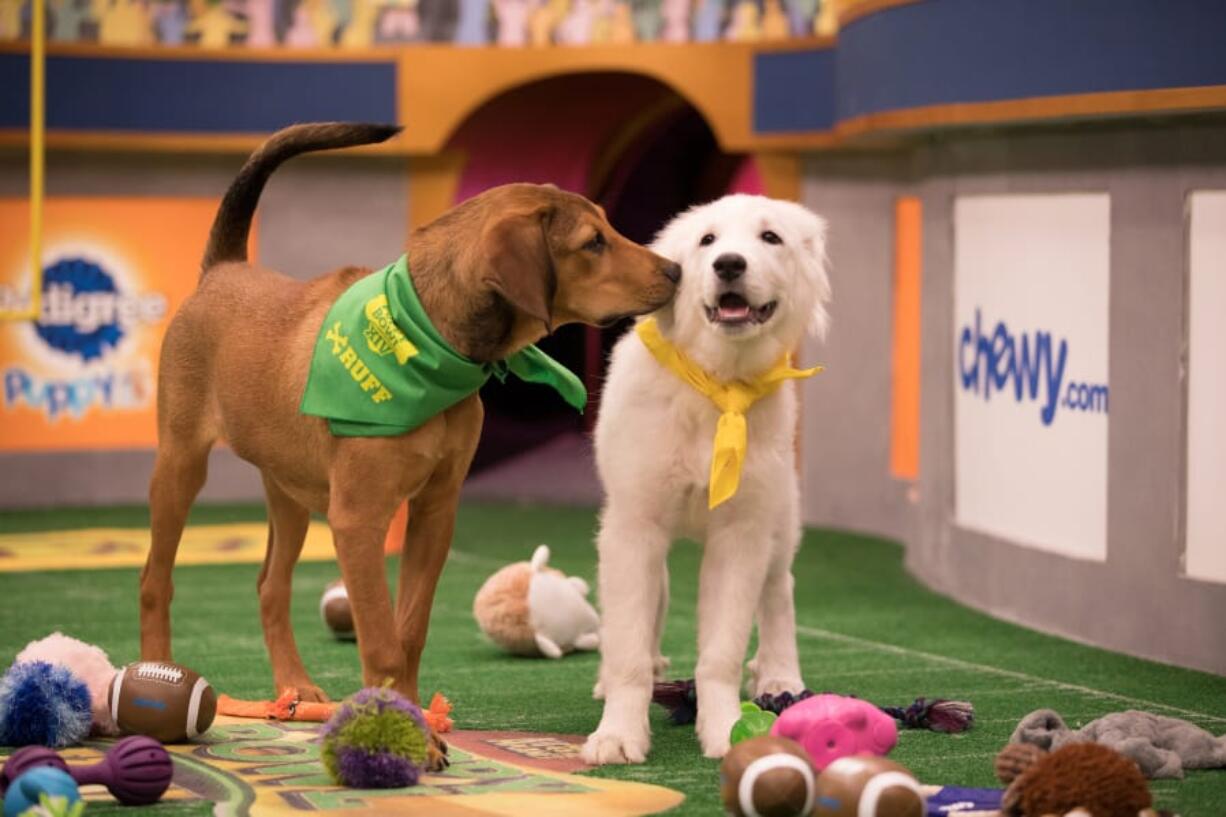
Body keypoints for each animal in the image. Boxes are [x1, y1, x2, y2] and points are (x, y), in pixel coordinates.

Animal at [140, 120, 681, 721]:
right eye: (593, 242)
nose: (677, 271)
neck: (429, 338)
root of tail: (224, 271)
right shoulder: (358, 520)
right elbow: (379, 636)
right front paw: (385, 717)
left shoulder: (434, 510)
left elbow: (410, 628)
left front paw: (415, 711)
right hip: (181, 464)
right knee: (155, 581)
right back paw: (157, 670)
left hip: (289, 489)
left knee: (270, 587)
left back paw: (295, 688)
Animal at [578, 193, 828, 760]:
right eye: (707, 241)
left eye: (770, 238)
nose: (729, 264)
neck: (717, 384)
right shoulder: (633, 526)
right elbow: (627, 643)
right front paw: (618, 735)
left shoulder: (740, 536)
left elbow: (721, 653)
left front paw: (726, 731)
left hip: (780, 517)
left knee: (779, 590)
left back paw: (781, 676)